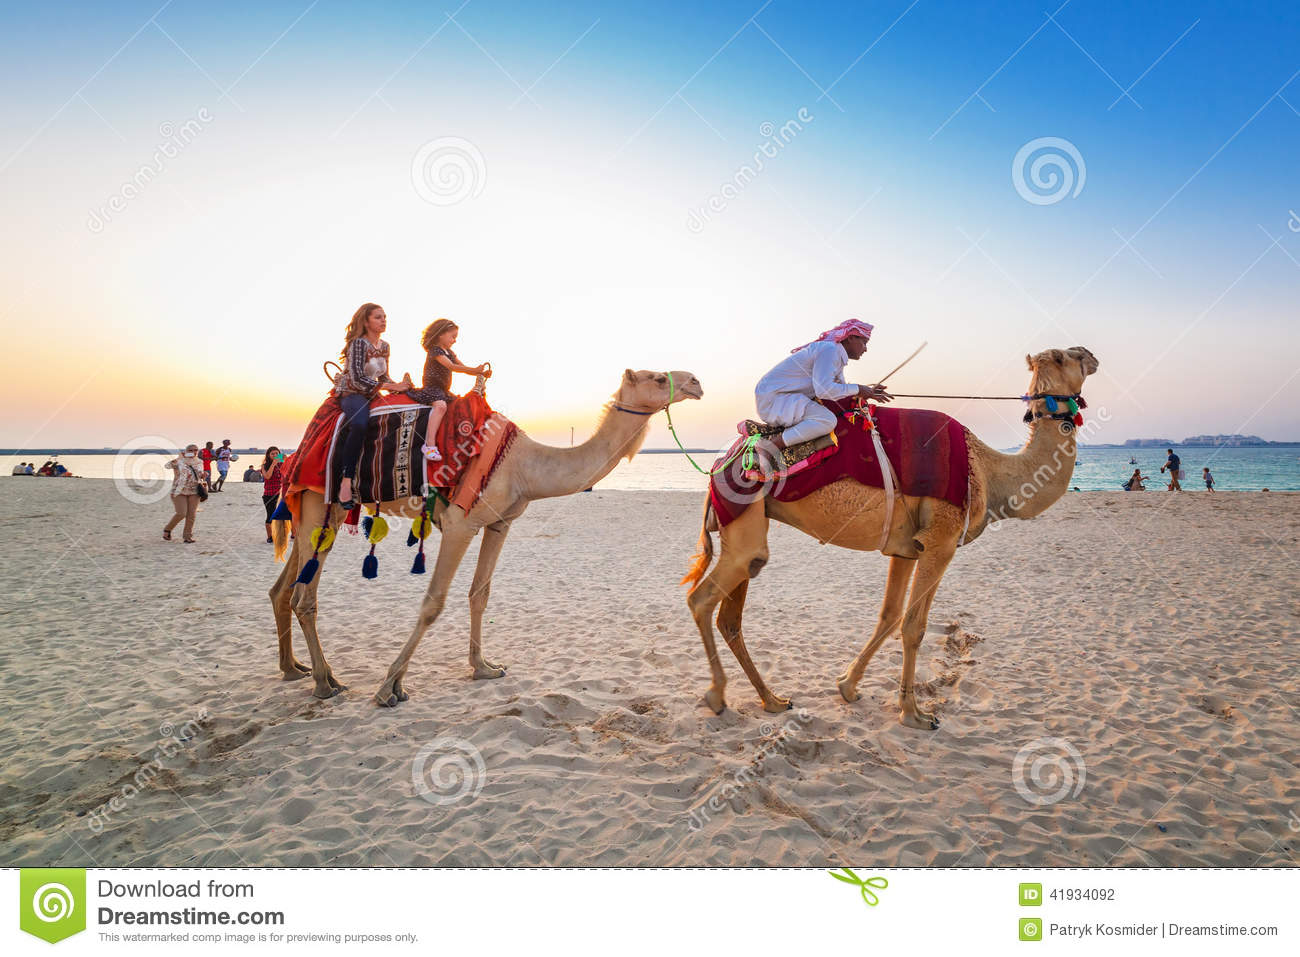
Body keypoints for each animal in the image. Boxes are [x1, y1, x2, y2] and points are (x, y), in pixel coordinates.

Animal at [267, 369, 707, 707]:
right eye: (657, 377)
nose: (696, 382)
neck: (524, 465)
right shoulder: (460, 524)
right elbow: (433, 603)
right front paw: (390, 686)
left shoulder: (499, 524)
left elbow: (480, 594)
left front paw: (484, 668)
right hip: (318, 504)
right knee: (305, 597)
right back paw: (325, 682)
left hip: (320, 511)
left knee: (283, 589)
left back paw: (294, 670)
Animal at [681, 348, 1097, 728]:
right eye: (1065, 358)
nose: (1091, 356)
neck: (988, 472)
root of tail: (720, 463)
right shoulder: (941, 542)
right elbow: (914, 627)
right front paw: (914, 713)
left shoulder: (908, 548)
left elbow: (890, 616)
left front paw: (848, 686)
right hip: (743, 519)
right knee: (701, 599)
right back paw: (716, 695)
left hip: (748, 529)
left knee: (732, 613)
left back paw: (772, 699)